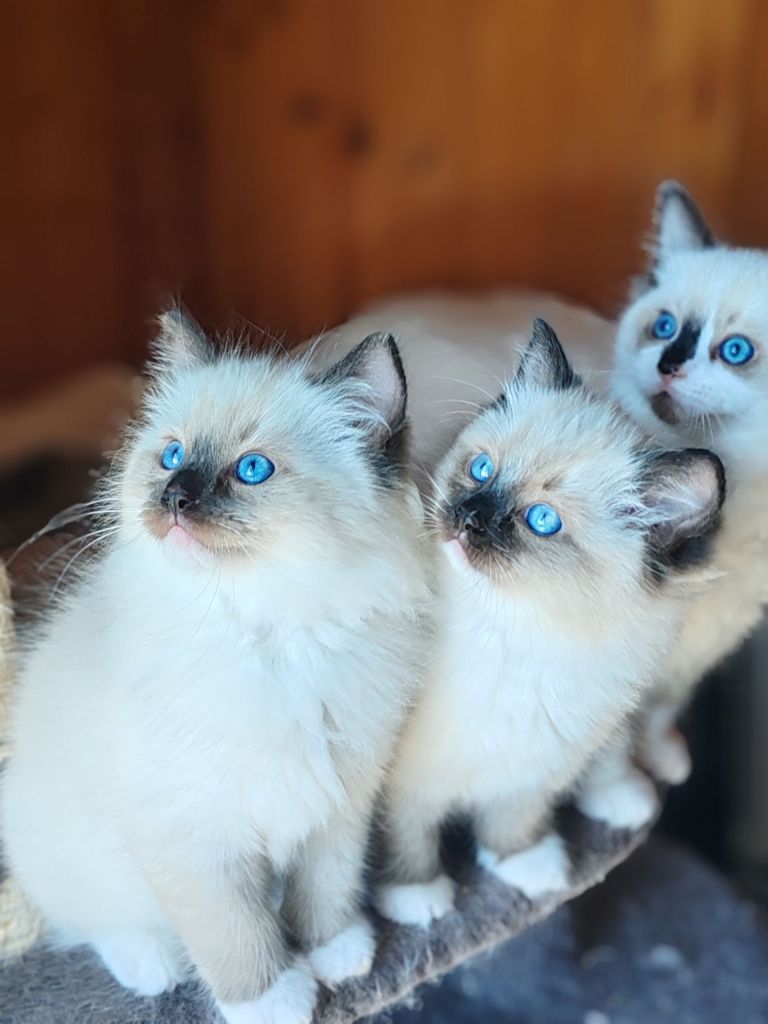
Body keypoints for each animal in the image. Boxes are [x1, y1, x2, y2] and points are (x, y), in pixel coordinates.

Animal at [1, 312, 430, 1024]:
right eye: (172, 456)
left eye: (251, 470)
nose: (174, 496)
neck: (271, 633)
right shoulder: (192, 836)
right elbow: (237, 936)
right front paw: (281, 1002)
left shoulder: (339, 804)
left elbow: (327, 890)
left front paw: (338, 956)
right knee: (95, 923)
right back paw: (152, 969)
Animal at [370, 319, 724, 926]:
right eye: (482, 470)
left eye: (541, 520)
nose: (467, 518)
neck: (518, 637)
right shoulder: (403, 778)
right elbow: (409, 835)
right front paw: (417, 901)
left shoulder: (537, 766)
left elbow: (512, 820)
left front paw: (527, 867)